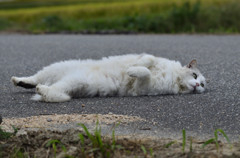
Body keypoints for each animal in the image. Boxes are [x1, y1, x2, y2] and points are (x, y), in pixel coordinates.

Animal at [10, 53, 206, 102]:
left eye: (203, 85)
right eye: (195, 75)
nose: (198, 85)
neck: (174, 78)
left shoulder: (141, 87)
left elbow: (145, 72)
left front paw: (132, 72)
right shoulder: (151, 60)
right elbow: (147, 62)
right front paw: (132, 69)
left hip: (76, 82)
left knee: (50, 91)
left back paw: (42, 91)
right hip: (55, 70)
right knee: (34, 78)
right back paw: (18, 80)